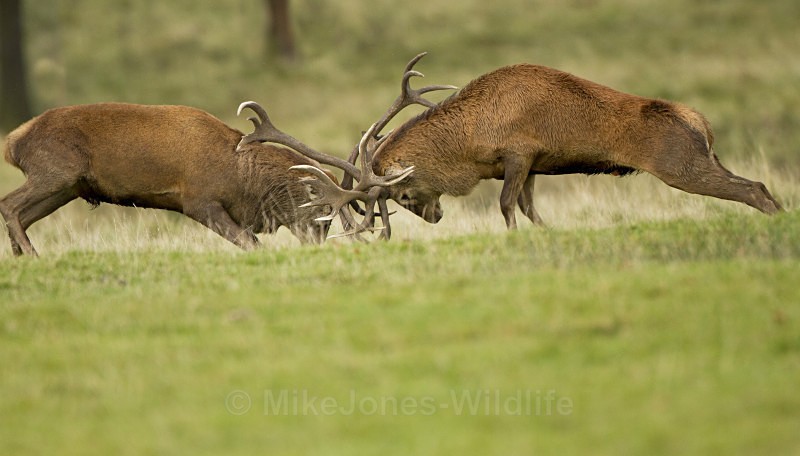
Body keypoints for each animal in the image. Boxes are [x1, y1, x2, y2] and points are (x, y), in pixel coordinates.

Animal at [0, 103, 335, 256]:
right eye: (322, 212)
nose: (317, 247)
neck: (240, 179)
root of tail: (12, 144)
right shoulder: (198, 199)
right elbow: (250, 243)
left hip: (67, 188)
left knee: (23, 216)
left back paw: (20, 258)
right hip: (55, 170)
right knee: (9, 204)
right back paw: (33, 256)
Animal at [237, 53, 783, 237]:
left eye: (402, 194)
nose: (435, 217)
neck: (472, 142)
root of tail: (701, 122)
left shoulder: (518, 152)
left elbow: (504, 204)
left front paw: (516, 238)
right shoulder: (534, 164)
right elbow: (528, 204)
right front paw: (543, 233)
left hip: (680, 164)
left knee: (753, 188)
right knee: (755, 185)